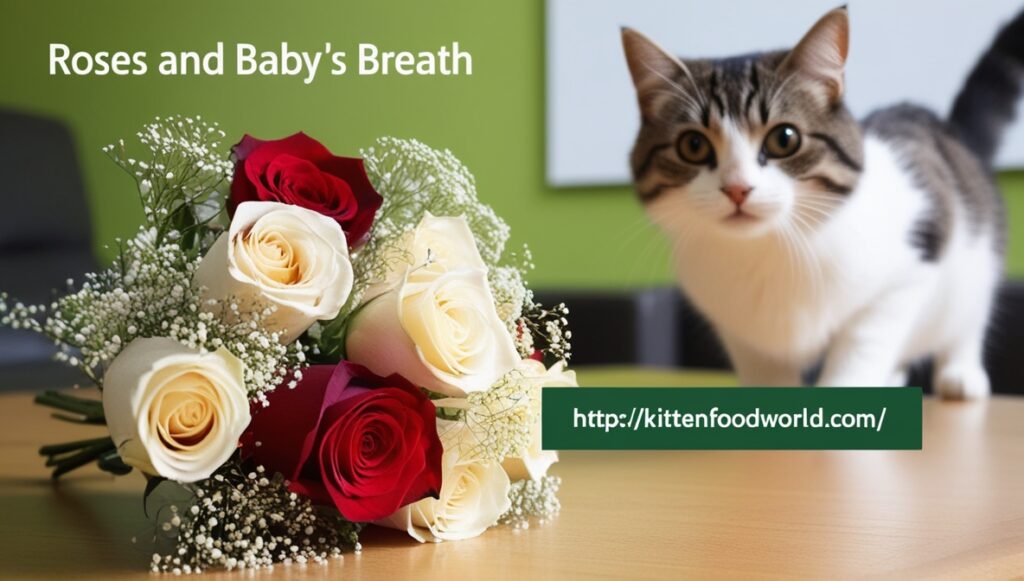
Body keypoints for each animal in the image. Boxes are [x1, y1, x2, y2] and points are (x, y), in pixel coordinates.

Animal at [618, 6, 1019, 397]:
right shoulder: (737, 327)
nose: (737, 188)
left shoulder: (910, 265)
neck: (767, 251)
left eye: (784, 139)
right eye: (693, 145)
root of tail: (945, 126)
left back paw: (960, 374)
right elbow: (764, 367)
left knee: (968, 318)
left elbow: (863, 341)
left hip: (975, 258)